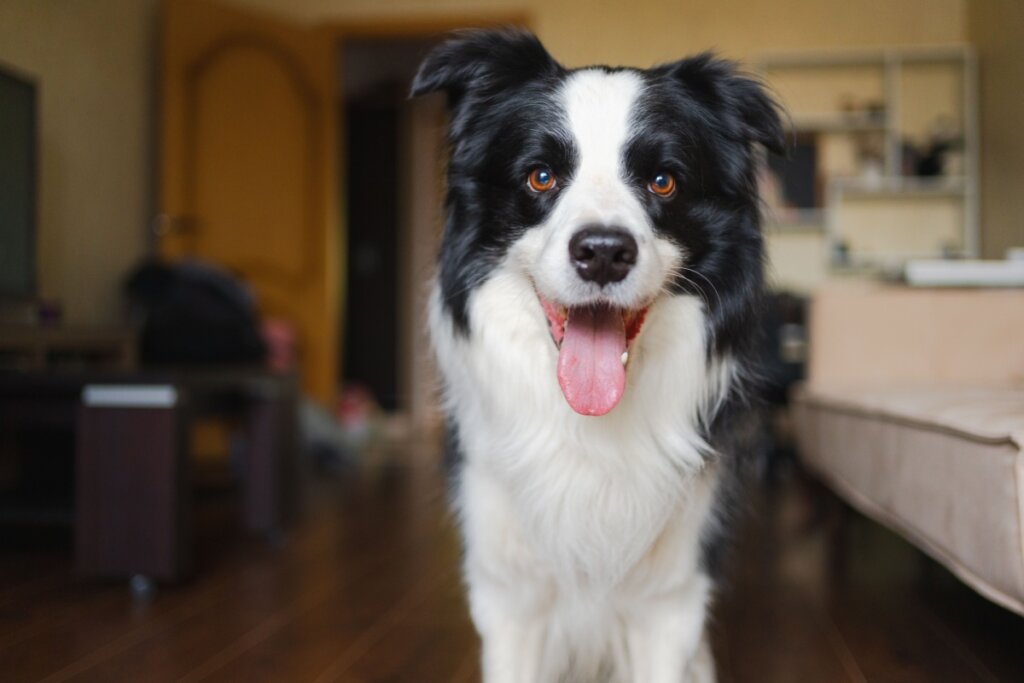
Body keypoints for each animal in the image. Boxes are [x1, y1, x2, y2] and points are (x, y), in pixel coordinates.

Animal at [411, 29, 778, 683]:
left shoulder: (669, 602)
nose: (604, 251)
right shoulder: (508, 596)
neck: (591, 429)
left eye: (663, 180)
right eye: (540, 176)